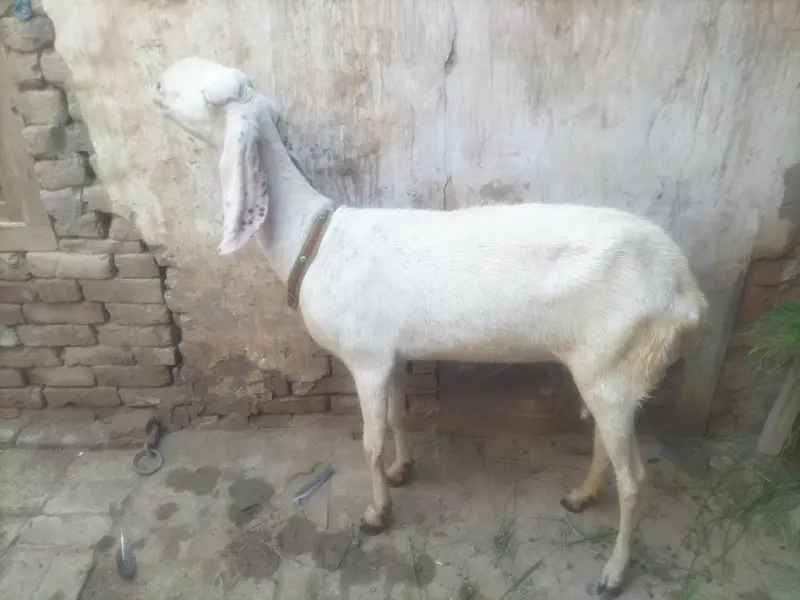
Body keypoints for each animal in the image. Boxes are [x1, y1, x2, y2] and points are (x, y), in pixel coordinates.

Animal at [154, 57, 708, 597]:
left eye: (209, 90)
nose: (157, 83)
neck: (314, 241)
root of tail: (687, 294)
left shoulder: (366, 358)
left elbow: (370, 440)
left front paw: (377, 514)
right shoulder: (392, 354)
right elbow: (399, 417)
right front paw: (404, 470)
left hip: (620, 359)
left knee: (635, 477)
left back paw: (614, 571)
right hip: (605, 367)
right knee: (606, 443)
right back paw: (580, 496)